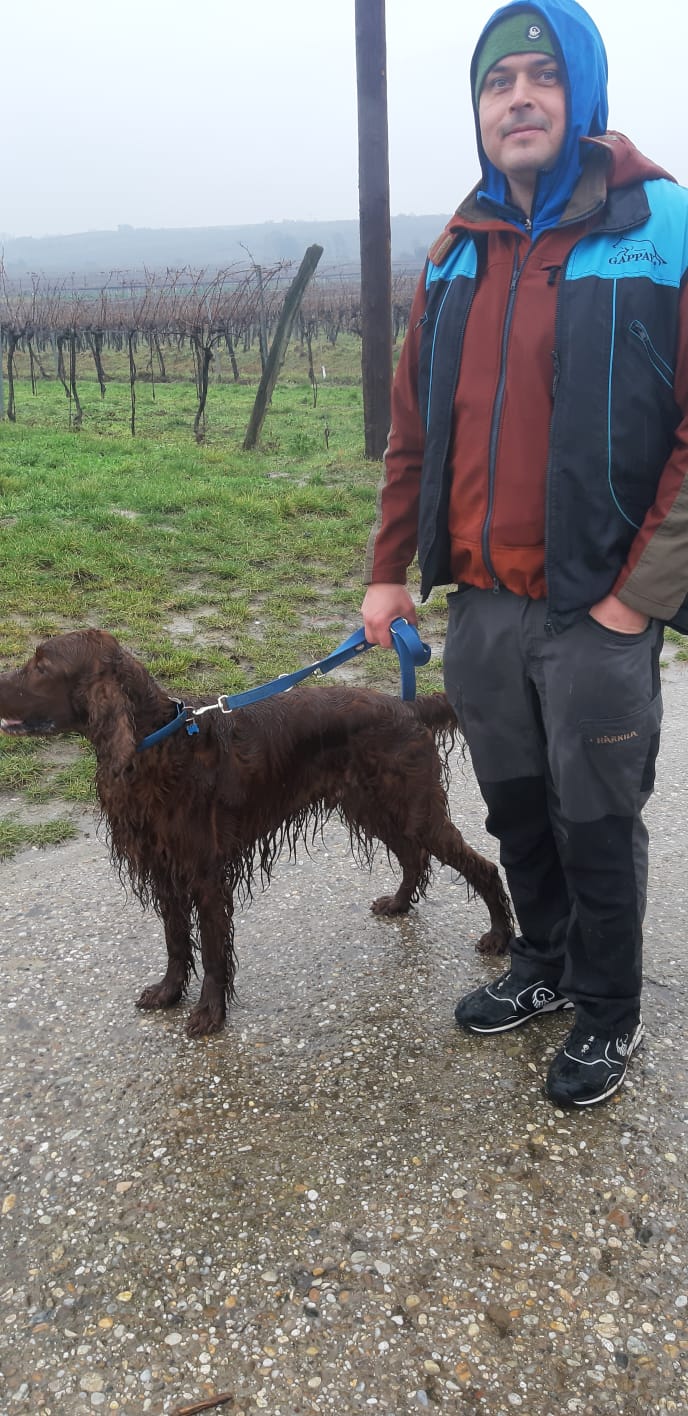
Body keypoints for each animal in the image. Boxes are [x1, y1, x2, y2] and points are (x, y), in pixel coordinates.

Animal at [0, 630, 512, 1036]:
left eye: (41, 665)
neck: (156, 743)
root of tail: (408, 707)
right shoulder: (164, 870)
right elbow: (175, 941)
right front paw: (168, 993)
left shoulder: (205, 876)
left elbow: (211, 952)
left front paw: (209, 1014)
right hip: (375, 808)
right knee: (414, 857)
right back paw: (400, 903)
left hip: (414, 811)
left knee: (484, 867)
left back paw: (499, 937)